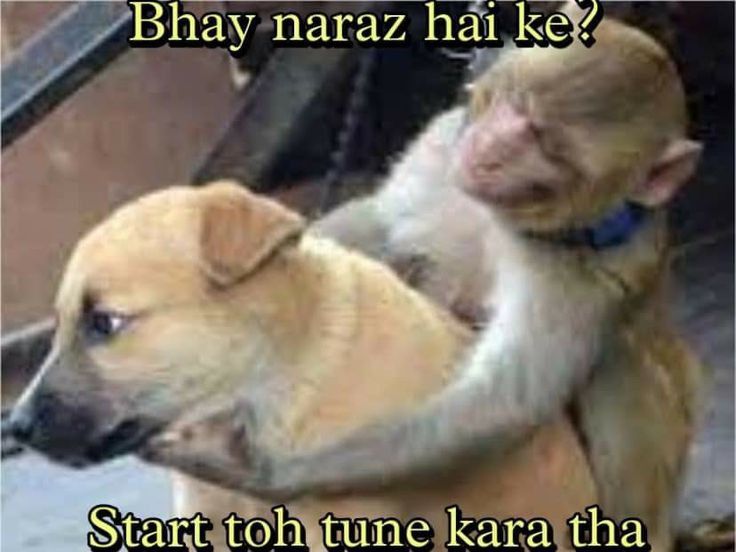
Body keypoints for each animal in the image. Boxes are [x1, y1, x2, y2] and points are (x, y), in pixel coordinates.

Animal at [142, 17, 705, 551]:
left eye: (548, 143)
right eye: (509, 102)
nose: (489, 148)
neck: (498, 216)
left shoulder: (581, 278)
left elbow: (502, 402)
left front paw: (261, 469)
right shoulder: (444, 142)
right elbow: (379, 224)